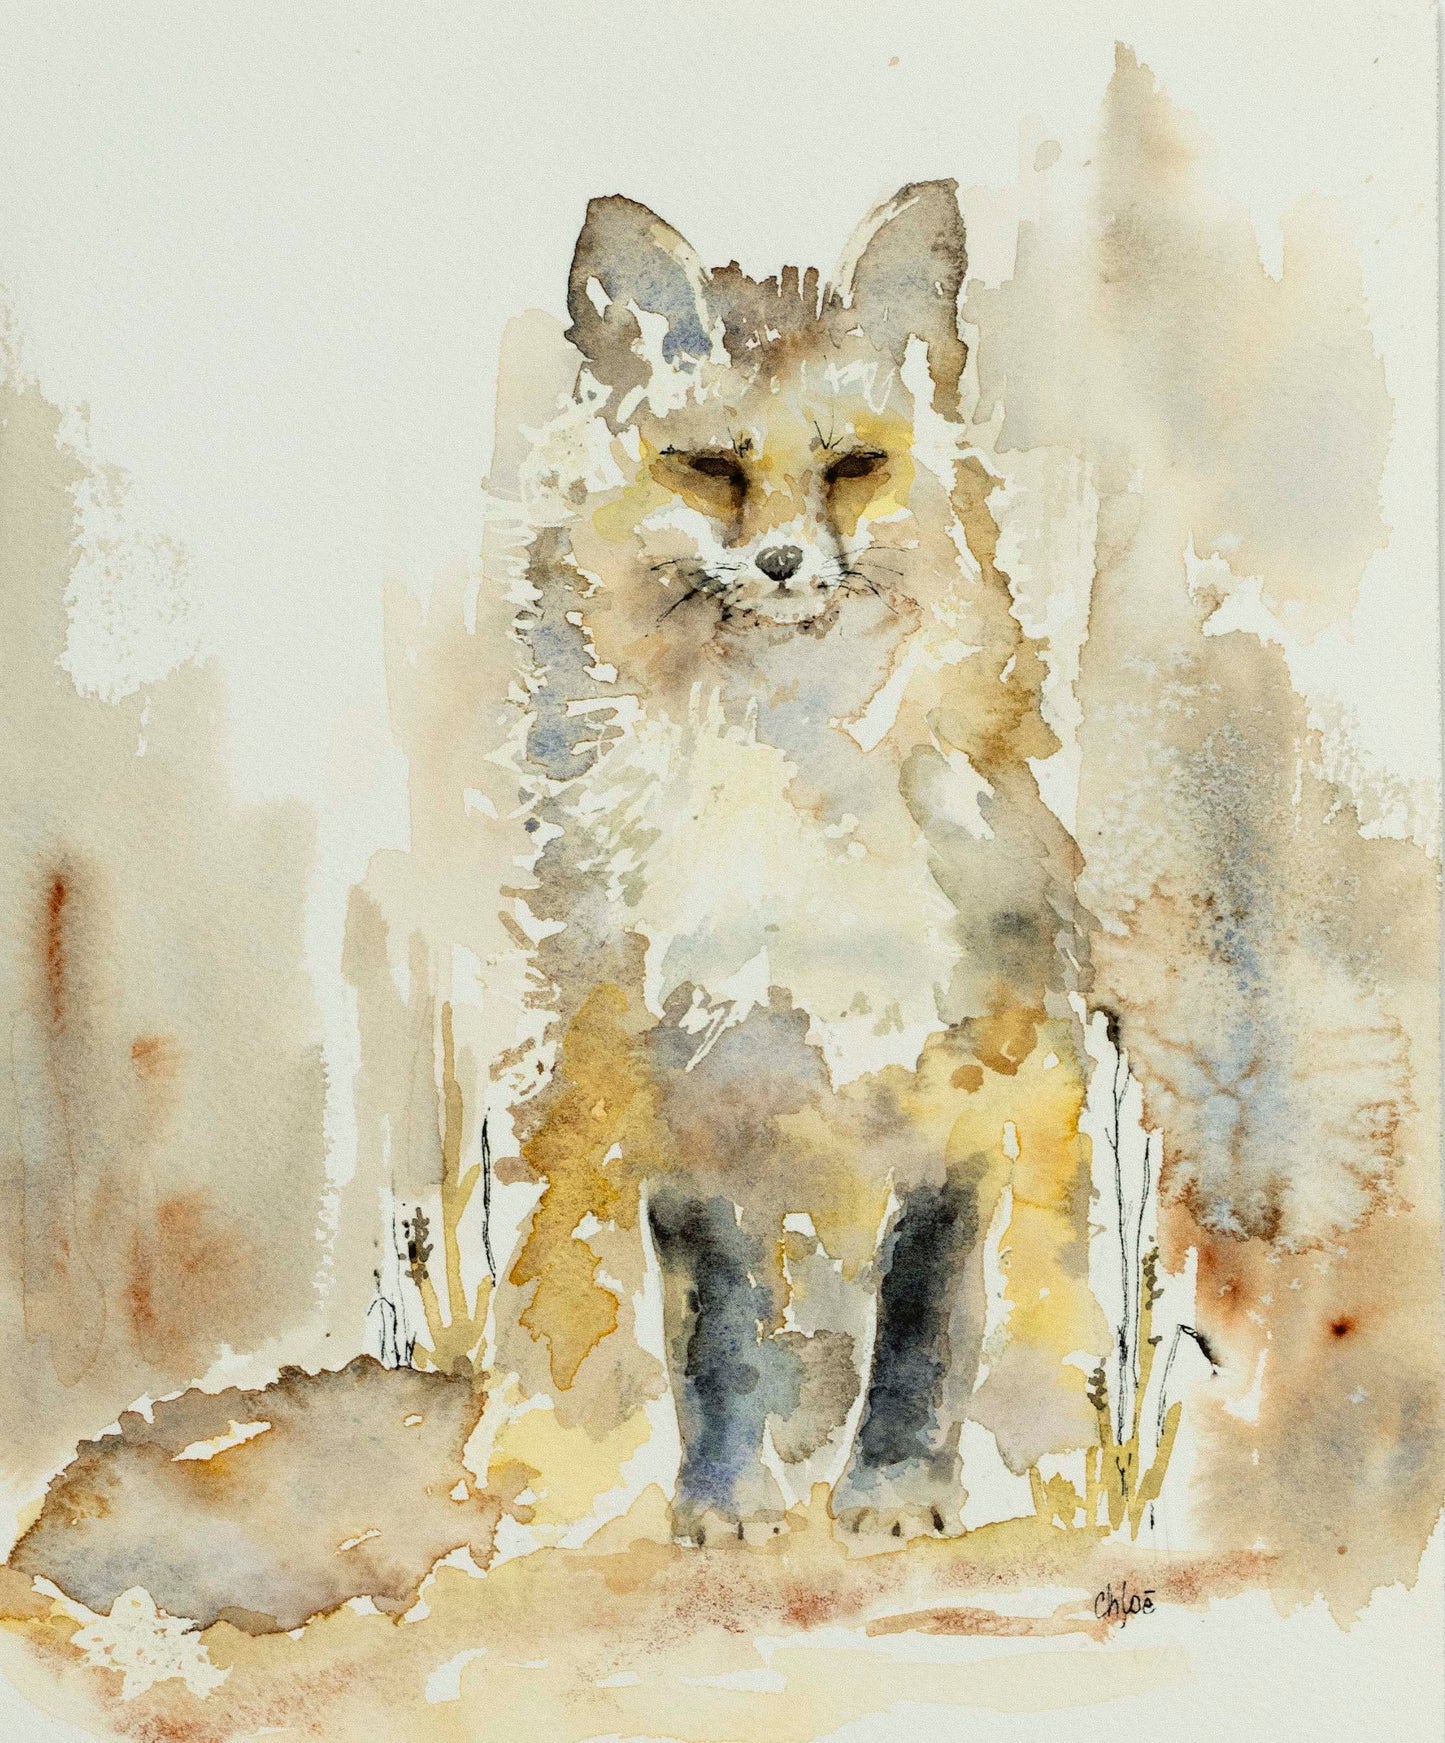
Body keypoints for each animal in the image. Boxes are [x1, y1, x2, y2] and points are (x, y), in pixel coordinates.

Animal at [486, 182, 1107, 1546]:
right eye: (713, 469)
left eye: (851, 468)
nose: (779, 565)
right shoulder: (686, 1081)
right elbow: (716, 1329)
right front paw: (723, 1504)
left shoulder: (964, 1066)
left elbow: (921, 1314)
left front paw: (895, 1491)